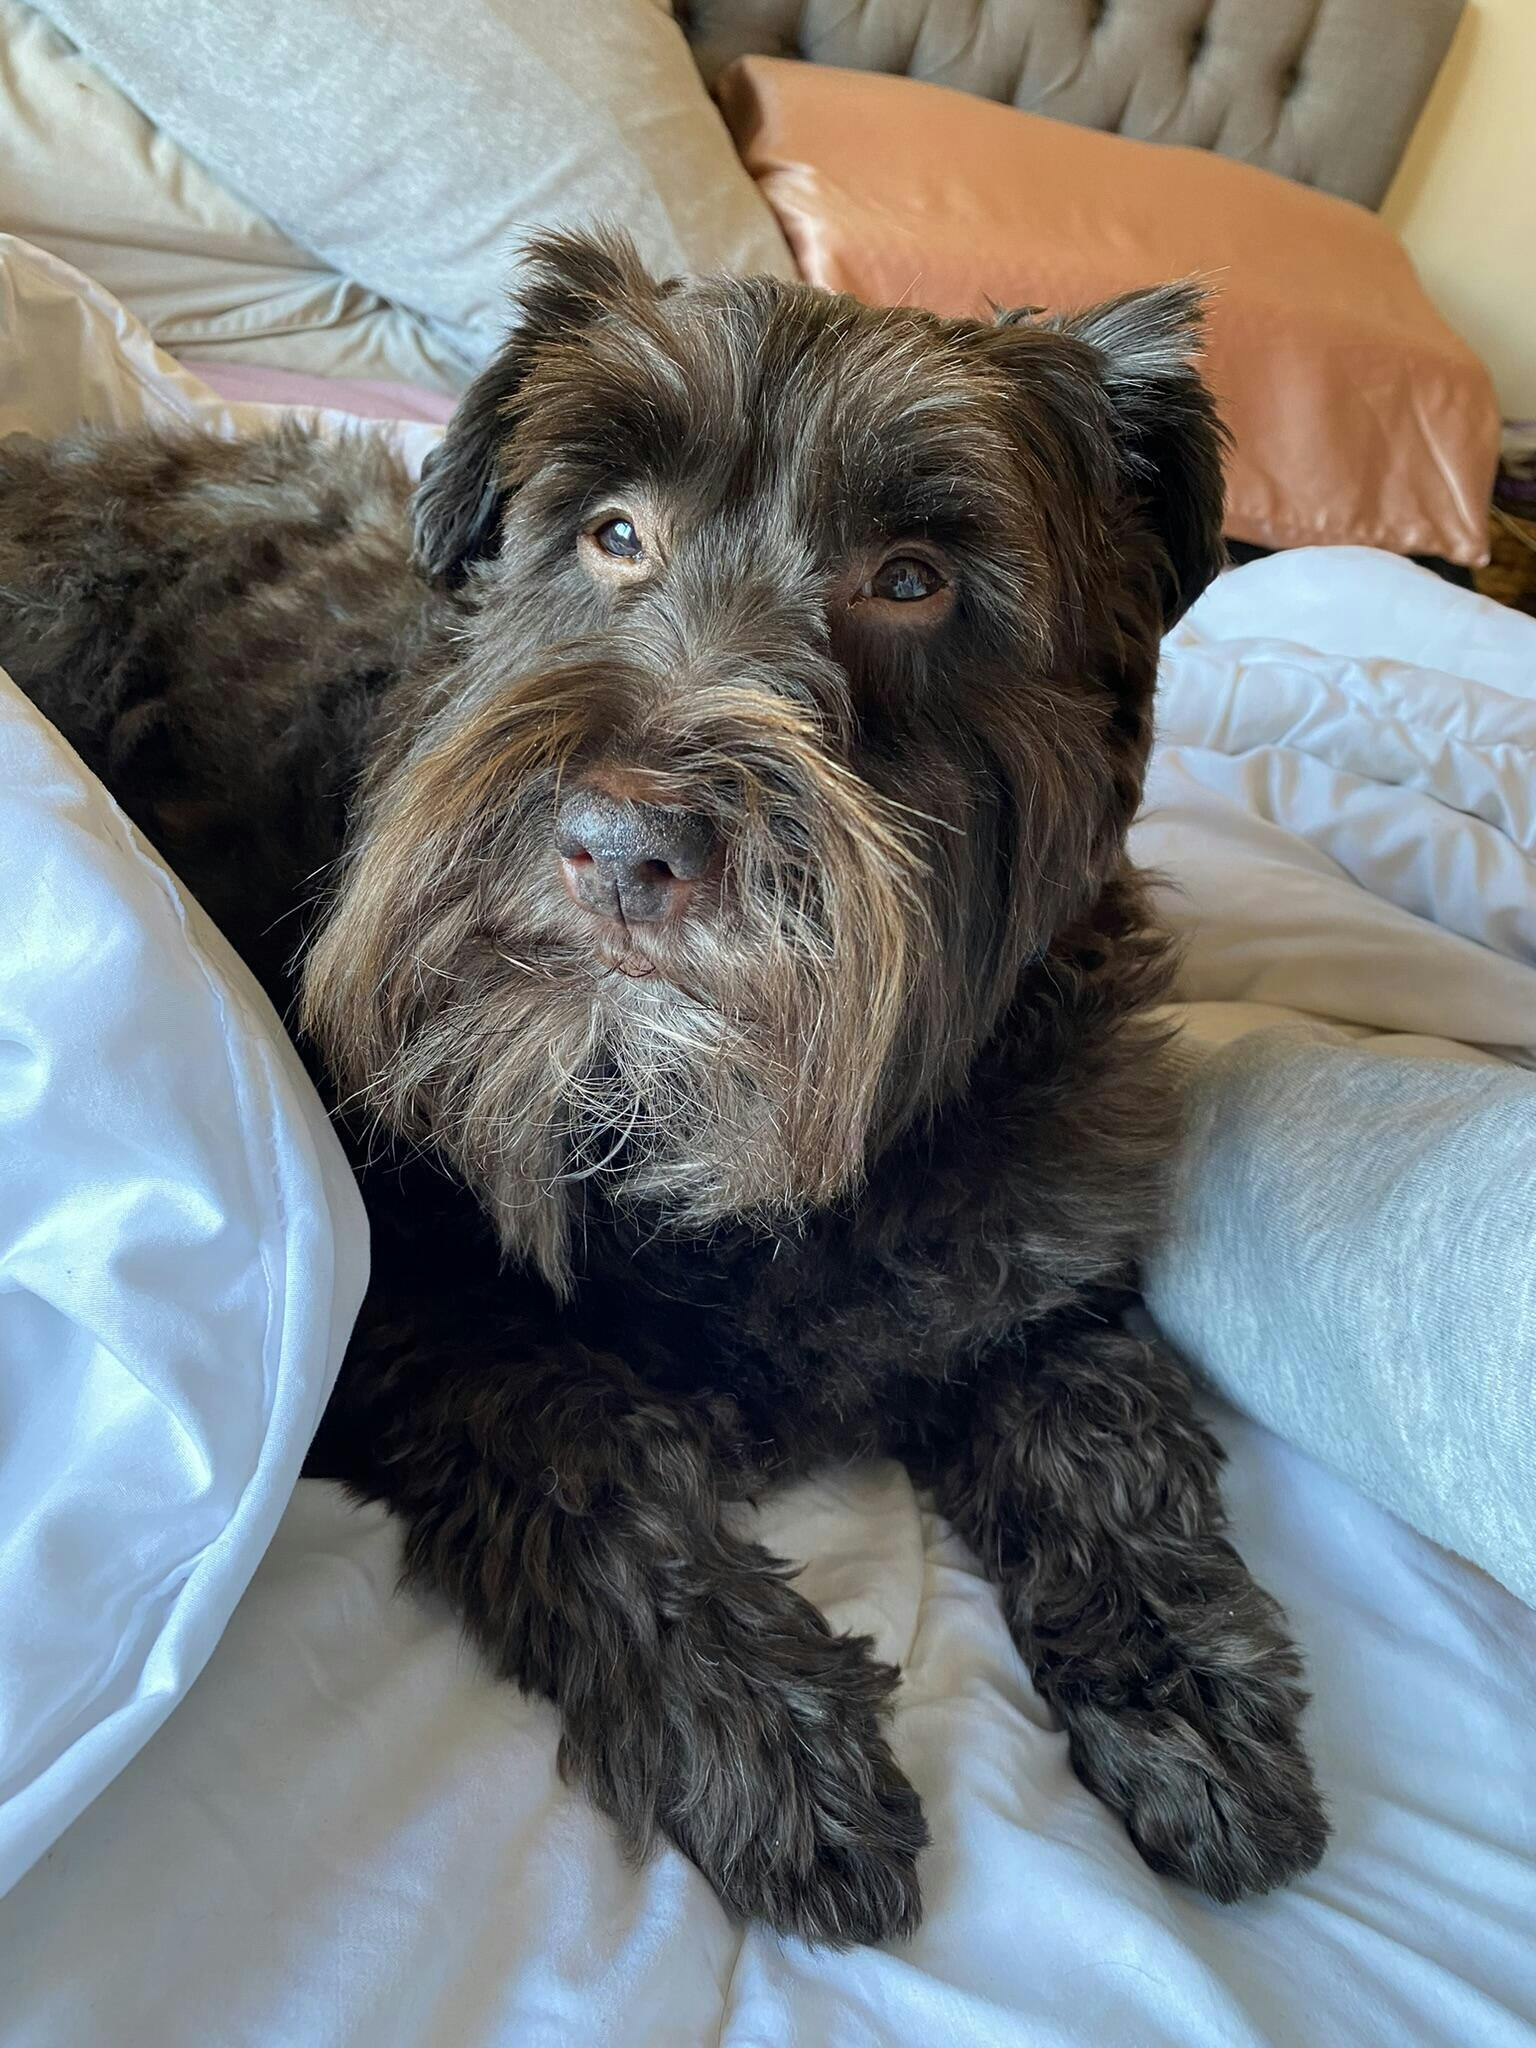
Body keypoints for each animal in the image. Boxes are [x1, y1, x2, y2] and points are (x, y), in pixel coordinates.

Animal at [0, 231, 1327, 1945]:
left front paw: (1196, 1696)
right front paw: (768, 1730)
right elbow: (590, 1445)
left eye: (914, 576)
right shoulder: (405, 1297)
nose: (626, 844)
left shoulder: (1049, 1247)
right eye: (614, 532)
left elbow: (1107, 1429)